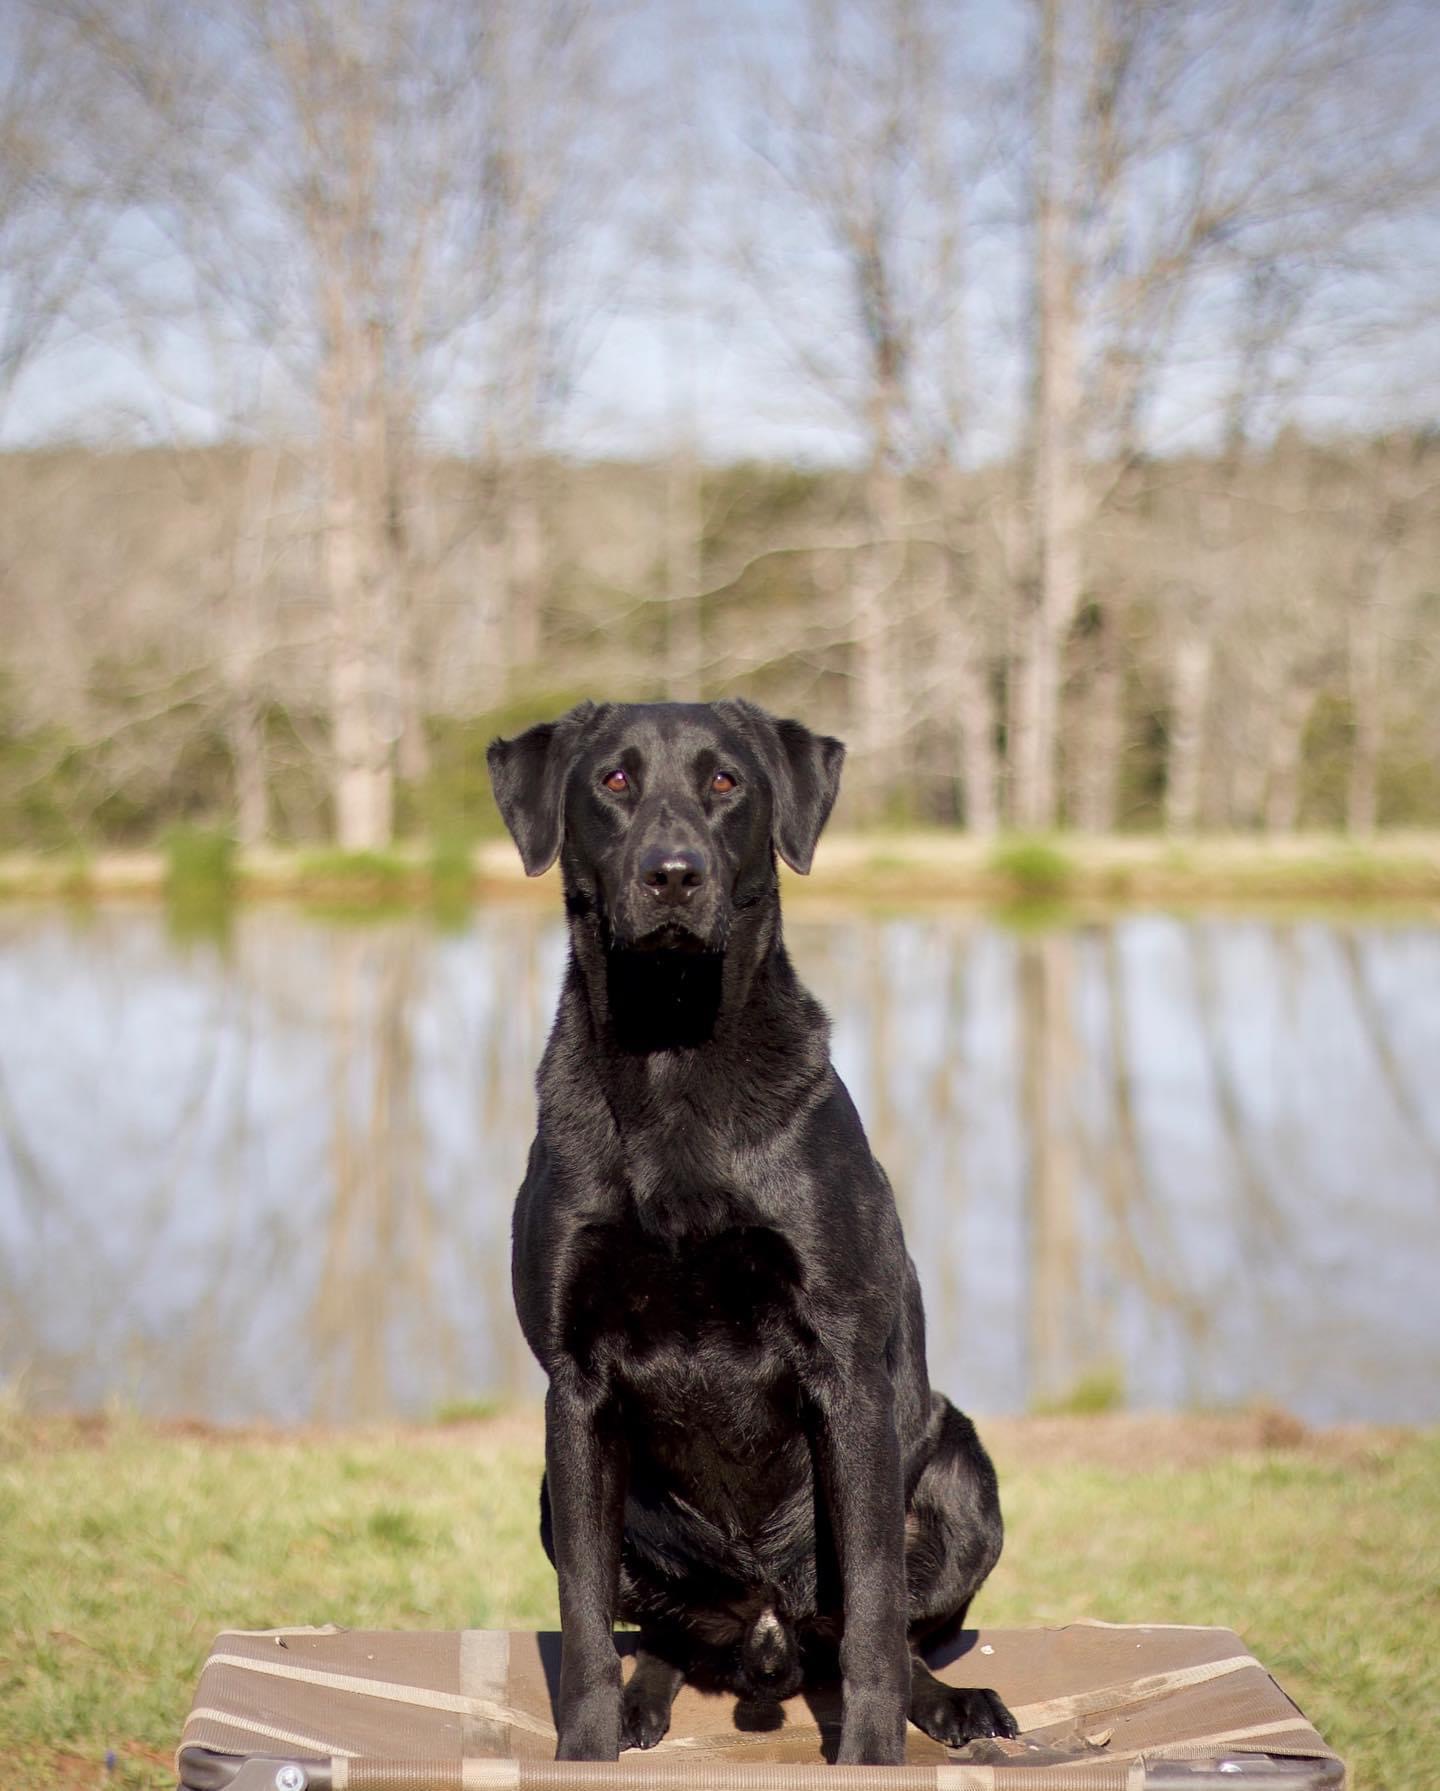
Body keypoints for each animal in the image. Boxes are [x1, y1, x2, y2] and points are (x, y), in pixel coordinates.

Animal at [490, 698, 1017, 1762]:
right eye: (613, 780)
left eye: (726, 782)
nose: (674, 872)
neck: (674, 1057)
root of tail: (765, 1627)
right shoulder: (574, 1383)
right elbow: (583, 1620)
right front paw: (587, 1746)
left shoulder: (846, 1367)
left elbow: (874, 1615)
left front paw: (871, 1758)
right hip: (562, 1497)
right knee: (662, 1630)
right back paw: (648, 1697)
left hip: (961, 1471)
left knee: (883, 1628)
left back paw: (951, 1701)